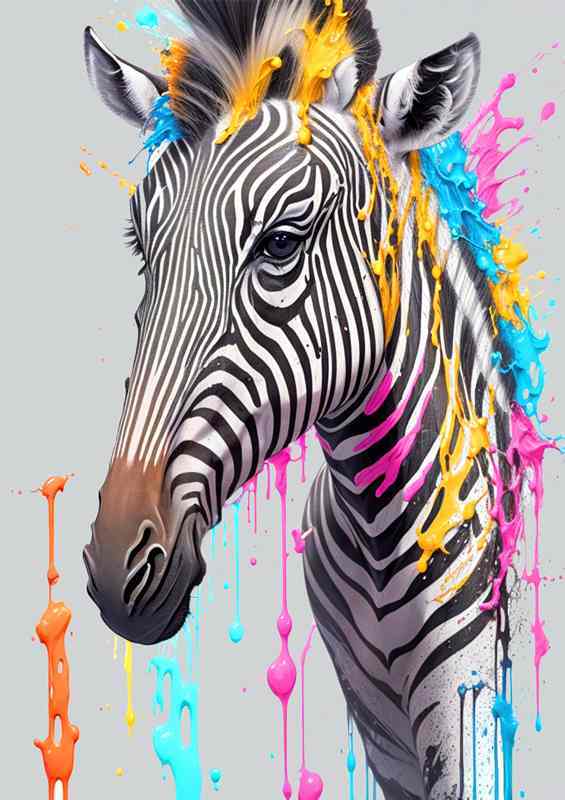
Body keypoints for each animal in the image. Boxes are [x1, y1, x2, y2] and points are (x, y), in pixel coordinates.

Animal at [82, 2, 524, 797]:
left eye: (281, 245)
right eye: (140, 247)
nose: (113, 564)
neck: (381, 529)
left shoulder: (471, 706)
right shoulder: (383, 737)